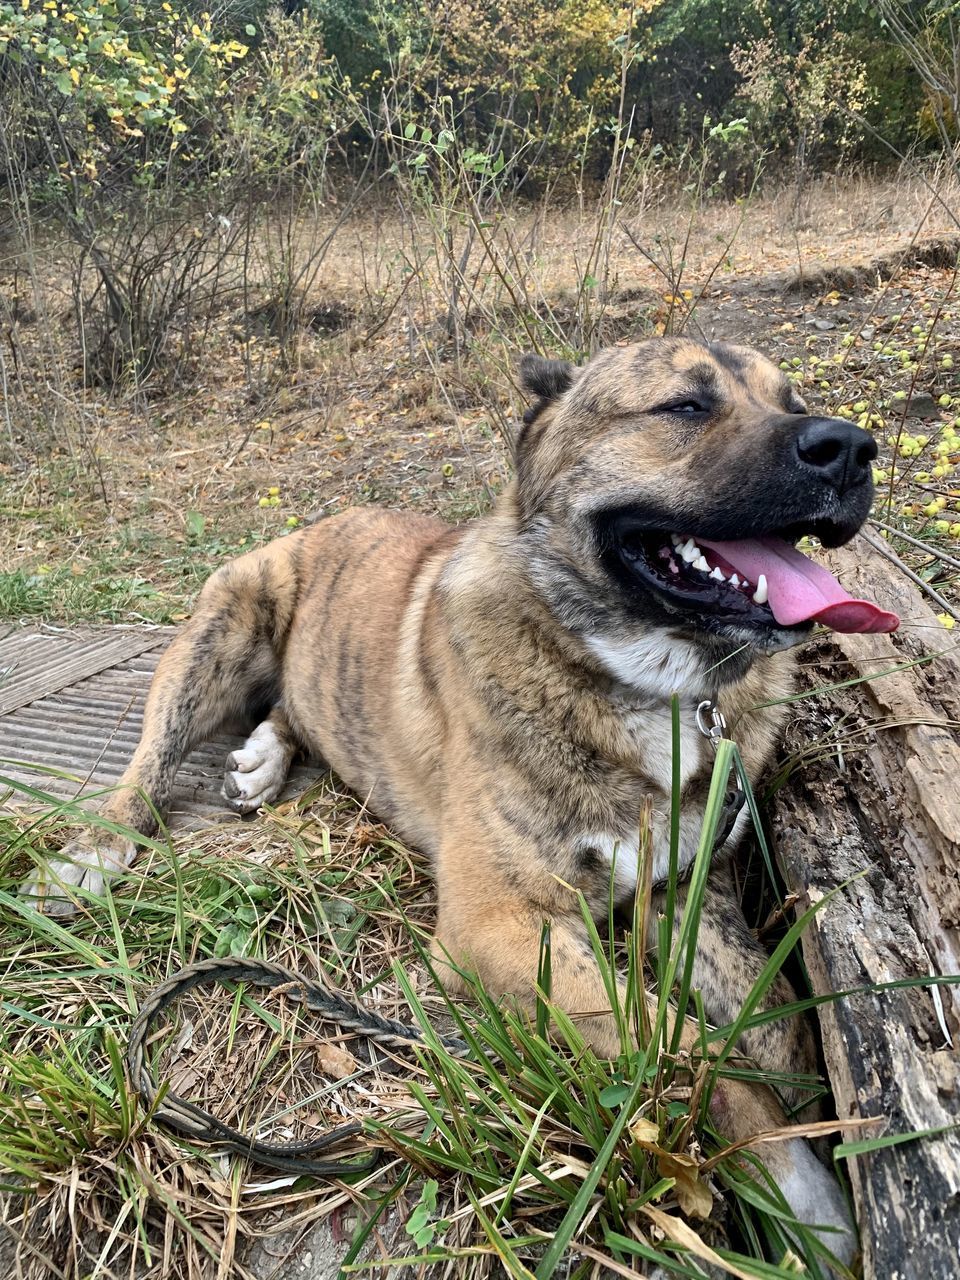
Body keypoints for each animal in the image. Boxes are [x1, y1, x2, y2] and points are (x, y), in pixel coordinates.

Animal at [24, 337, 901, 1259]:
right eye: (684, 406)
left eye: (791, 399)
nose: (852, 449)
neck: (643, 682)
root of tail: (327, 520)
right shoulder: (500, 929)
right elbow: (676, 1038)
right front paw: (791, 1182)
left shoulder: (687, 898)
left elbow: (776, 1026)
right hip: (223, 626)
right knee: (150, 758)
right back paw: (94, 852)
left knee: (290, 708)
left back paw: (264, 758)